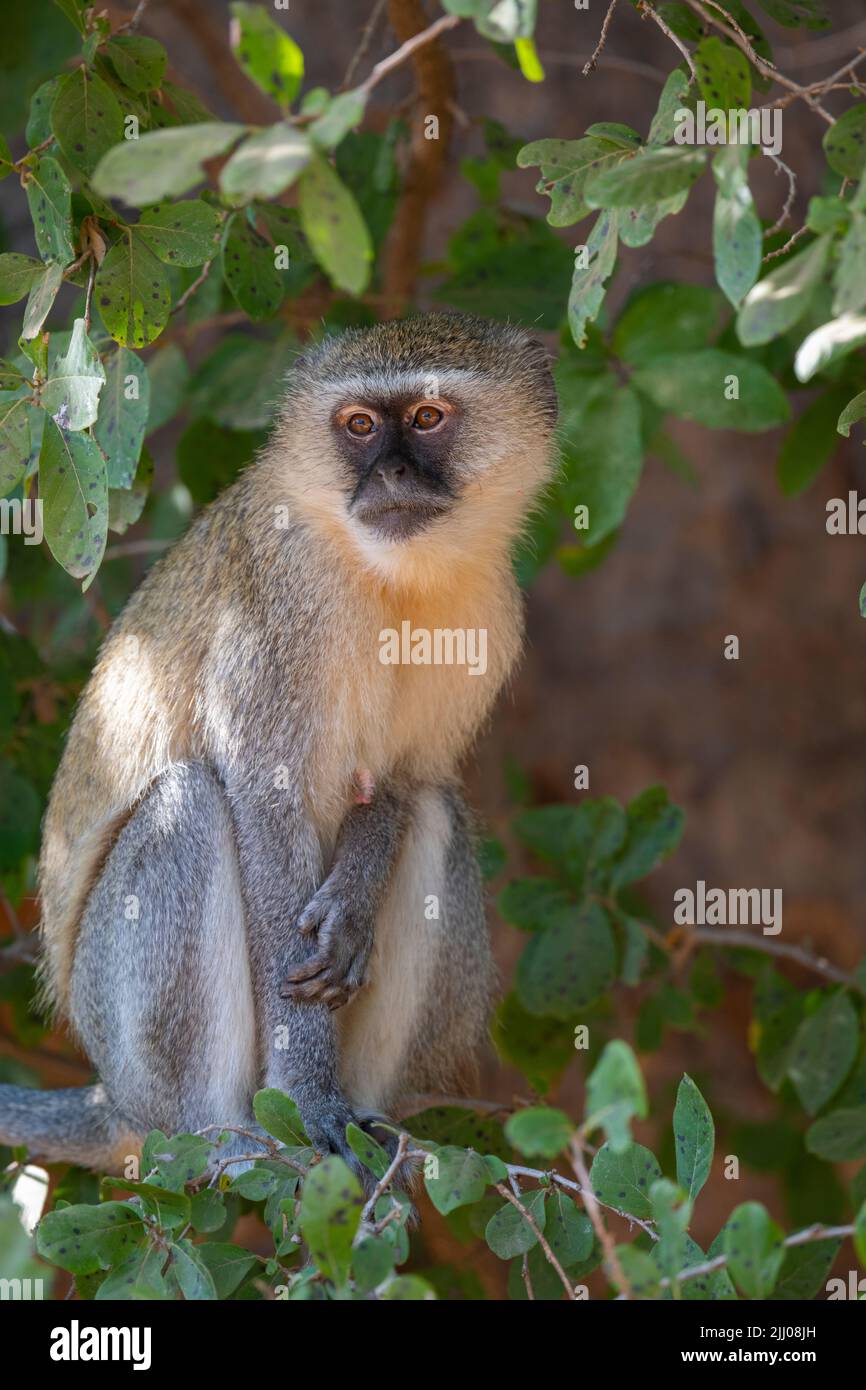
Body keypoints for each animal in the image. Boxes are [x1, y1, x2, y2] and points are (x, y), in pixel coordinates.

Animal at [0, 312, 557, 1179]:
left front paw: (351, 903)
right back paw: (227, 1141)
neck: (388, 574)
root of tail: (109, 1100)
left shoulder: (490, 614)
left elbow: (401, 783)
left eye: (428, 418)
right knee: (188, 806)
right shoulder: (277, 610)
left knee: (436, 811)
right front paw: (310, 1095)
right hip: (122, 1038)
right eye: (359, 426)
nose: (392, 475)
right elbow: (263, 804)